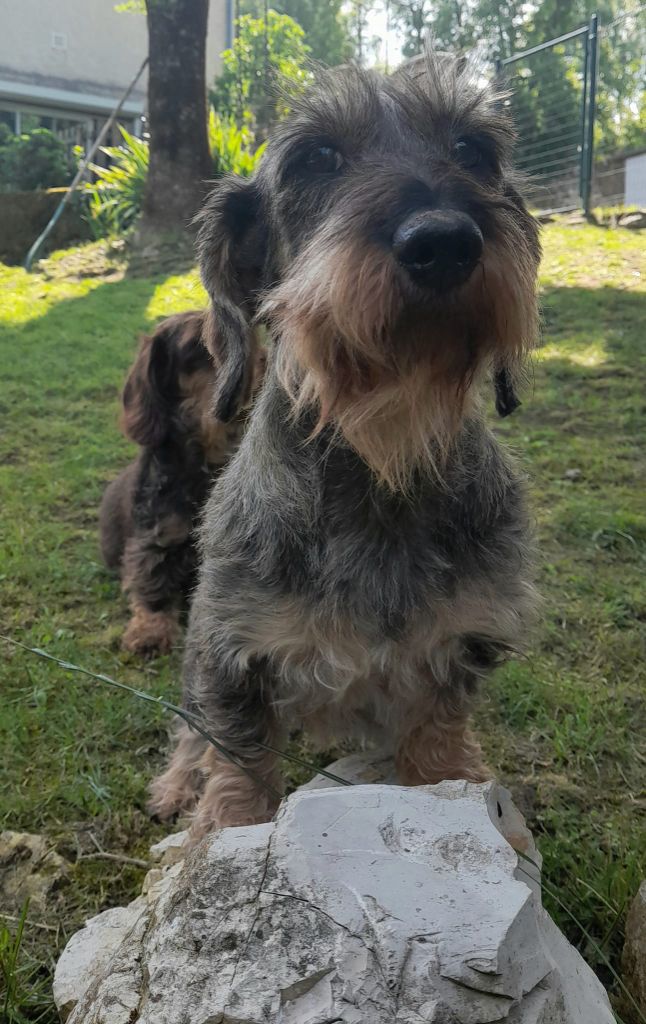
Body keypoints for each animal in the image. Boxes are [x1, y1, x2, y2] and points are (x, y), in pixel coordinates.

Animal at [149, 50, 541, 836]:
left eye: (474, 151)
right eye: (317, 157)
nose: (444, 241)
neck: (385, 454)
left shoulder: (459, 647)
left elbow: (437, 740)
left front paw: (460, 783)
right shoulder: (230, 651)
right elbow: (235, 763)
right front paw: (219, 820)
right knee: (189, 726)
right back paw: (177, 783)